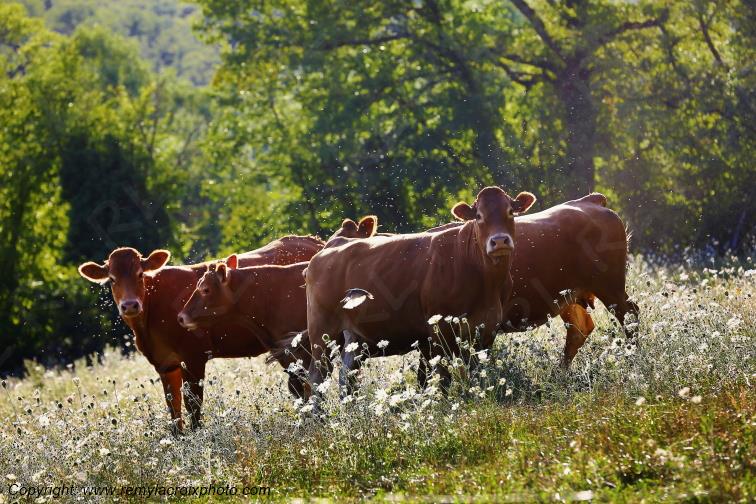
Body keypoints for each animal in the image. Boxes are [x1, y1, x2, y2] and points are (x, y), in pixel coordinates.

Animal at [77, 235, 323, 432]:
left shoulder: (193, 358)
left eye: (140, 274)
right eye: (112, 279)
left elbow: (192, 405)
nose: (129, 305)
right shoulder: (166, 365)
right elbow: (174, 410)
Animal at [303, 186, 536, 400]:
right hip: (322, 334)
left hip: (354, 338)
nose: (499, 241)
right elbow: (442, 376)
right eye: (478, 216)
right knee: (316, 377)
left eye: (510, 212)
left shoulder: (487, 329)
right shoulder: (439, 330)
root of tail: (327, 250)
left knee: (346, 376)